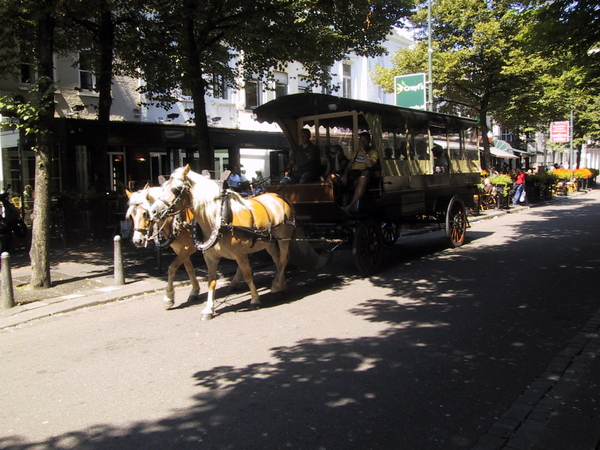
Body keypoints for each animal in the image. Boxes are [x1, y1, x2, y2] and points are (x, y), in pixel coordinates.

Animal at [150, 164, 296, 320]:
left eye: (176, 189)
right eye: (163, 187)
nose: (153, 212)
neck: (220, 219)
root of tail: (280, 197)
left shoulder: (240, 254)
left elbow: (248, 275)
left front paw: (255, 300)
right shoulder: (210, 257)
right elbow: (211, 281)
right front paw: (208, 309)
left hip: (284, 238)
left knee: (284, 259)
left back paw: (275, 287)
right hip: (268, 242)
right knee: (277, 260)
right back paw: (281, 286)